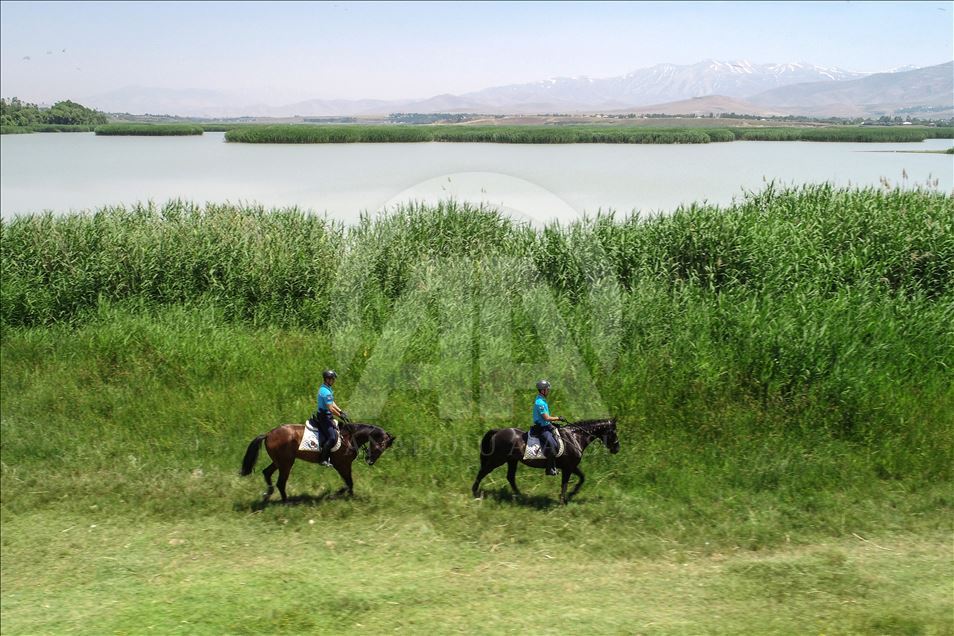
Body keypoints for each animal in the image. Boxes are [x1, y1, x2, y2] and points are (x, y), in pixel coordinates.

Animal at [240, 422, 395, 504]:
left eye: (384, 448)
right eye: (380, 446)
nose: (370, 461)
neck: (349, 438)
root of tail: (268, 434)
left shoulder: (344, 465)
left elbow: (349, 483)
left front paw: (348, 496)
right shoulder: (342, 465)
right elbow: (349, 483)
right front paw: (340, 494)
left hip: (279, 462)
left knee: (267, 473)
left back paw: (268, 495)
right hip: (286, 463)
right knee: (280, 482)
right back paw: (285, 502)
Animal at [471, 418, 619, 505]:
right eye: (614, 432)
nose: (617, 449)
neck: (575, 437)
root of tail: (498, 431)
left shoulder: (571, 466)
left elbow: (582, 478)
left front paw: (571, 495)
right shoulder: (568, 468)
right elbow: (565, 484)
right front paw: (563, 500)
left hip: (512, 460)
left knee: (510, 477)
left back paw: (520, 496)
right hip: (498, 459)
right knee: (483, 471)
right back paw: (475, 492)